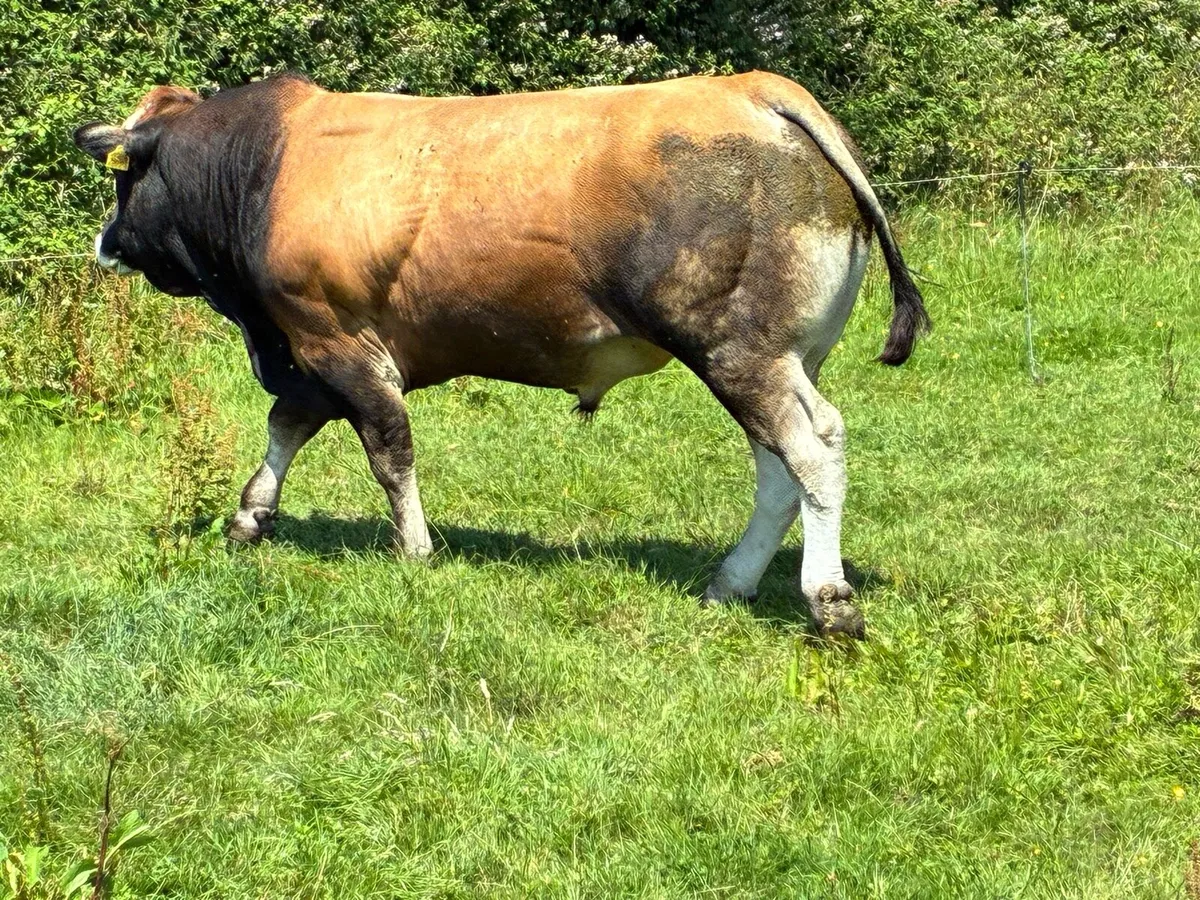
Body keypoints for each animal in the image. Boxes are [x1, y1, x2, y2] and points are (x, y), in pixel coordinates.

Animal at [73, 70, 928, 638]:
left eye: (125, 181)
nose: (103, 242)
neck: (263, 166)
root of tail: (752, 87)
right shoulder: (312, 350)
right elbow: (286, 426)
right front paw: (251, 516)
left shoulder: (335, 338)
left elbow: (388, 450)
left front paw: (415, 549)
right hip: (777, 358)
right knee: (777, 470)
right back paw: (732, 582)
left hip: (739, 350)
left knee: (813, 448)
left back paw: (829, 600)